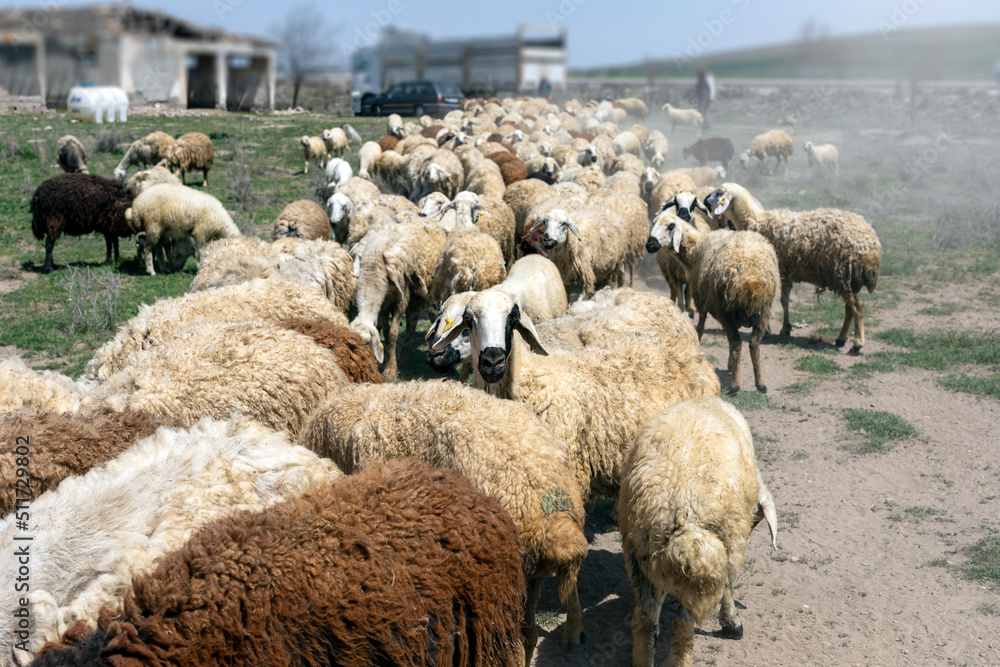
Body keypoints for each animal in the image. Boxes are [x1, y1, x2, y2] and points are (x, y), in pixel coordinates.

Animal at [350, 221, 447, 377]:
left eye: (367, 342)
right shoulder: (384, 304)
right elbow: (386, 332)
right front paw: (388, 362)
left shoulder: (401, 299)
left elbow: (393, 334)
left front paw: (390, 370)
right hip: (415, 297)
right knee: (412, 322)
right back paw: (403, 358)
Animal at [619, 397, 778, 667]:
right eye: (756, 520)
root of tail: (683, 508)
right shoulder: (729, 550)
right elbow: (728, 588)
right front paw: (732, 624)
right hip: (700, 572)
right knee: (684, 624)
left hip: (639, 553)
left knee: (644, 618)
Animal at [647, 212, 779, 394]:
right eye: (653, 222)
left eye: (671, 226)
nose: (649, 244)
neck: (695, 251)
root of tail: (750, 278)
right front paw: (730, 363)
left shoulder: (702, 301)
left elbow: (700, 330)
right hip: (763, 311)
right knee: (753, 344)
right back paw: (760, 384)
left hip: (726, 309)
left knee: (738, 343)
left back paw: (735, 385)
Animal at [707, 182, 882, 352]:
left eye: (719, 192)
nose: (705, 200)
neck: (756, 220)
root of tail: (872, 244)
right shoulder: (786, 272)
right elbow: (785, 301)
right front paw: (786, 329)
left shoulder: (774, 272)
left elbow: (774, 301)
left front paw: (769, 330)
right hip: (849, 279)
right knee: (849, 308)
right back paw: (841, 338)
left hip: (842, 275)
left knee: (857, 307)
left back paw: (857, 343)